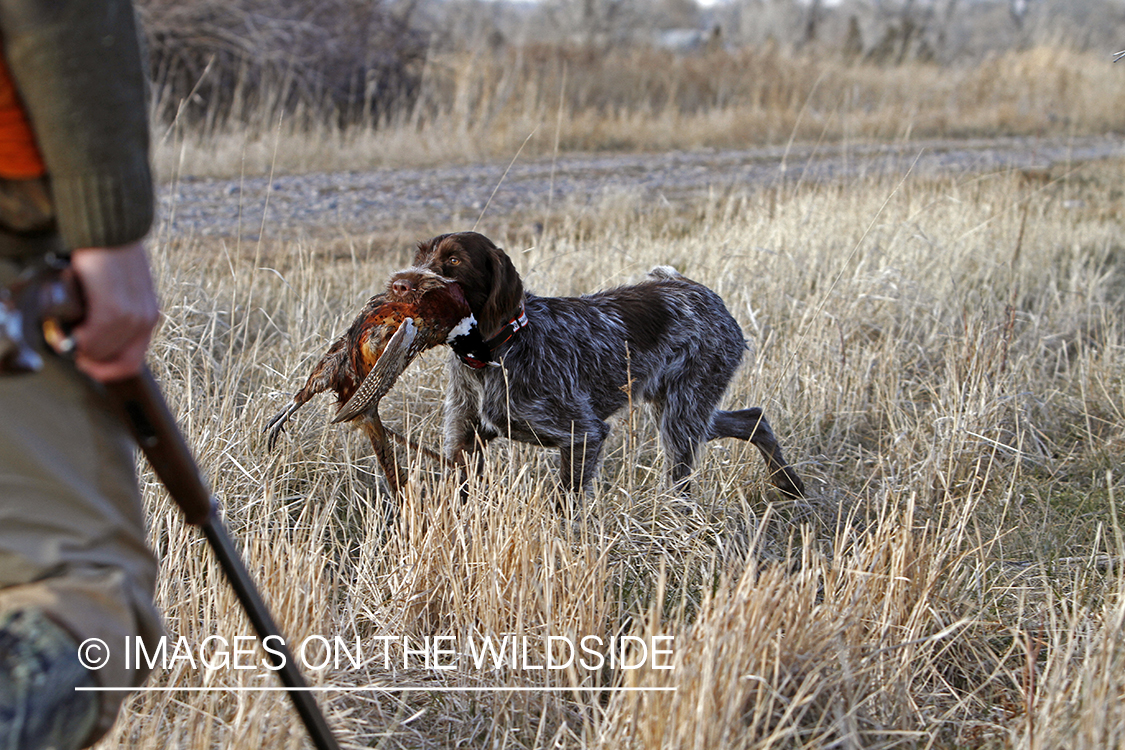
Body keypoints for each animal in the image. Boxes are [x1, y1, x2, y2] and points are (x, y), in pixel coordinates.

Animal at [409, 230, 805, 499]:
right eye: (419, 255)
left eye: (455, 260)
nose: (403, 283)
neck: (492, 355)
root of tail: (695, 288)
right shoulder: (463, 441)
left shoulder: (583, 435)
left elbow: (566, 504)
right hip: (680, 407)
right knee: (753, 419)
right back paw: (789, 485)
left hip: (683, 413)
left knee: (687, 472)